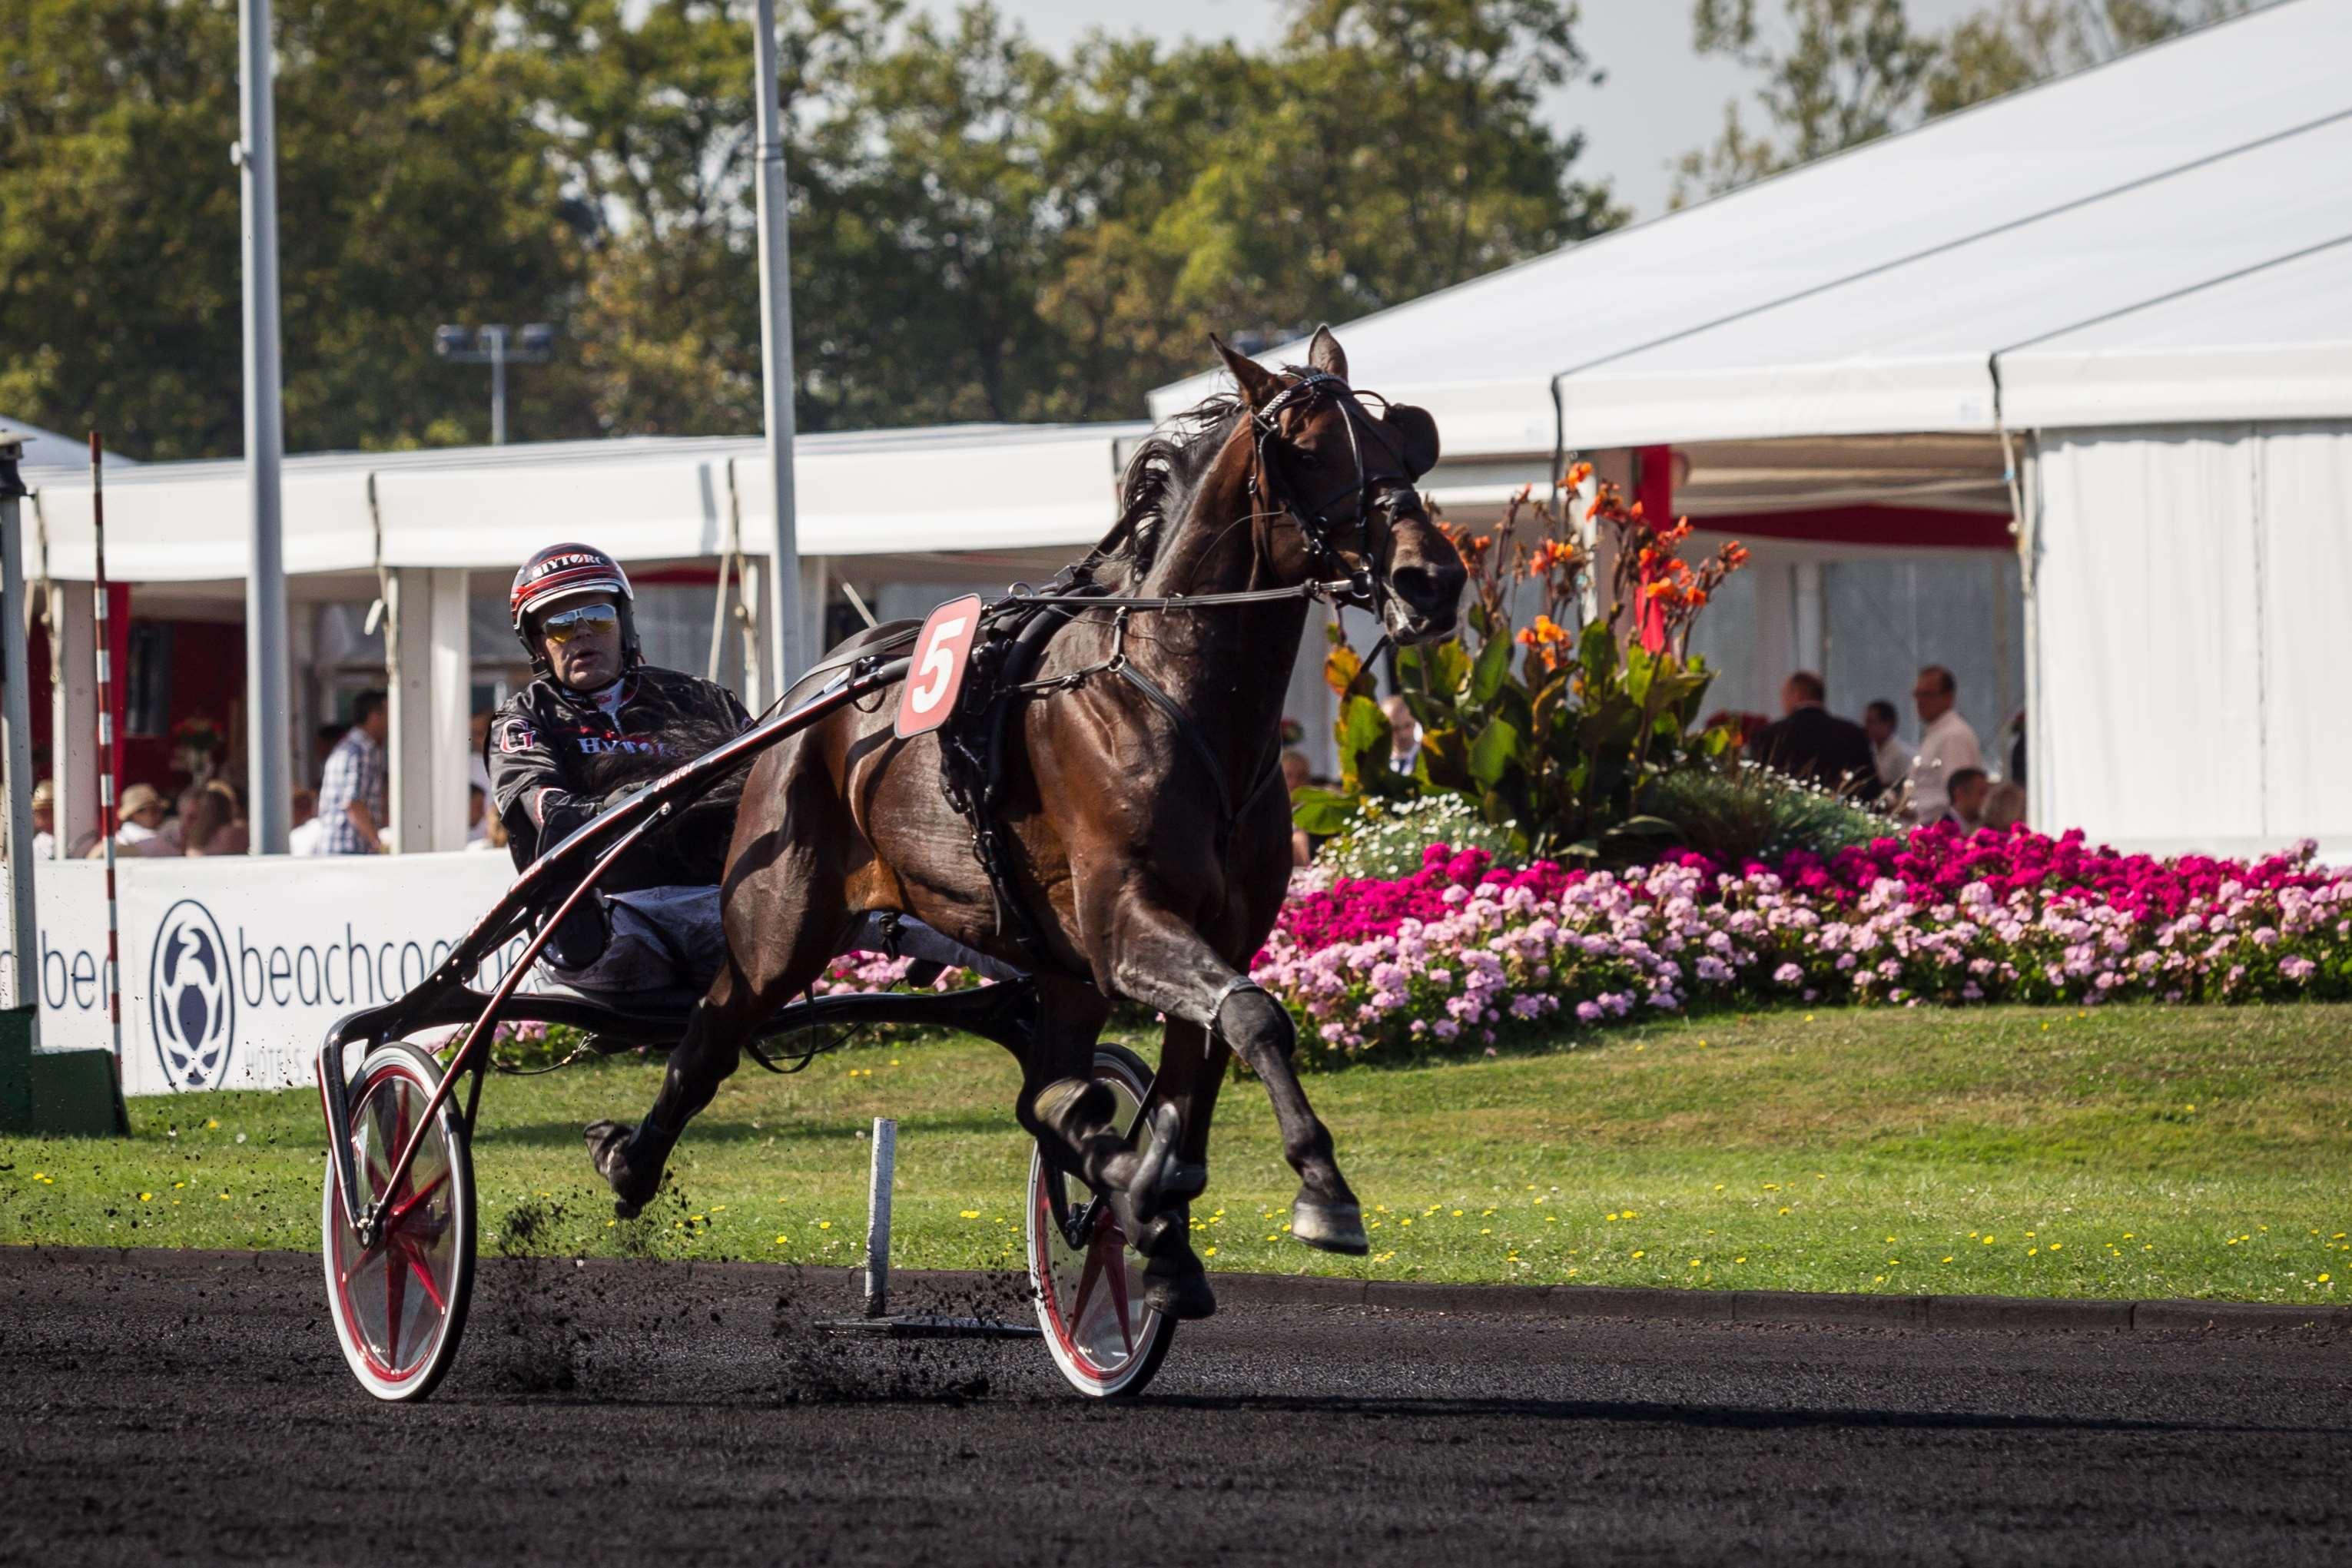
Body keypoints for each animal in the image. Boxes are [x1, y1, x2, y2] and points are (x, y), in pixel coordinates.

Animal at [586, 329, 1458, 1325]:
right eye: (1306, 449)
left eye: (1404, 442)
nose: (1432, 578)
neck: (1165, 690)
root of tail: (812, 688)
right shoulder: (1126, 925)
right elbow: (1252, 1016)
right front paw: (1318, 1190)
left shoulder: (1210, 929)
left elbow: (1197, 1069)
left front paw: (1159, 1216)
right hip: (781, 918)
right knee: (711, 1031)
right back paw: (628, 1161)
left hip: (1053, 961)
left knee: (1042, 1092)